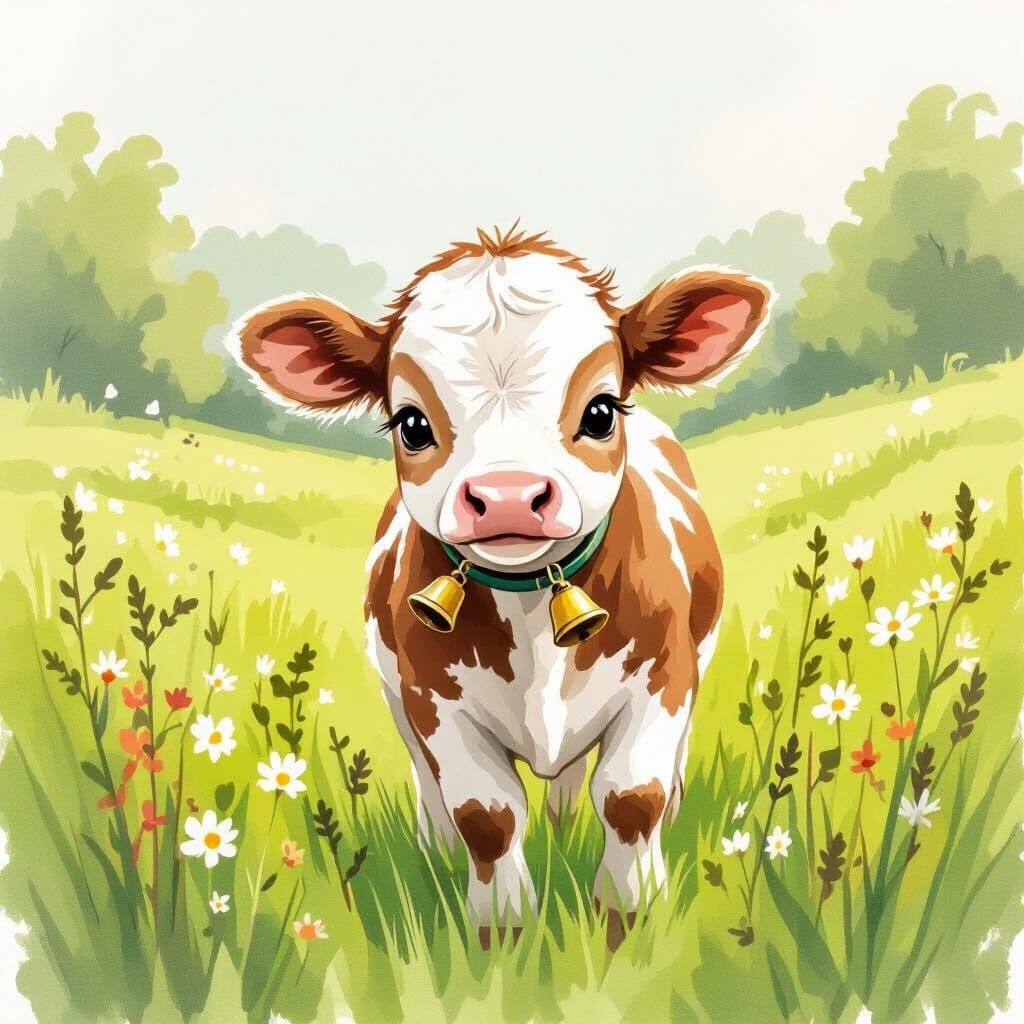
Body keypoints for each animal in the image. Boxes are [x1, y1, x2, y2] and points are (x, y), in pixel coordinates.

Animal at [227, 225, 774, 949]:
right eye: (411, 423)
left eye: (601, 411)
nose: (508, 497)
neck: (532, 607)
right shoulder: (433, 699)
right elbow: (486, 816)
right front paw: (503, 937)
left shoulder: (664, 674)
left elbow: (632, 797)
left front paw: (627, 920)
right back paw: (441, 847)